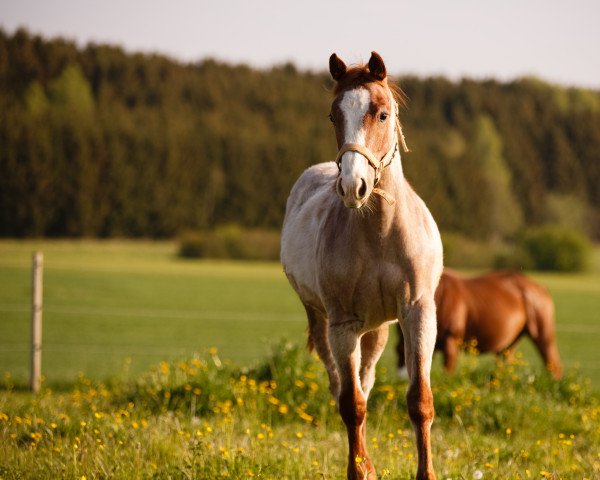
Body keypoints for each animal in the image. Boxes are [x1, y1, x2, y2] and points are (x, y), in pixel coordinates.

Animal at [278, 52, 442, 480]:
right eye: (333, 115)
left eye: (381, 114)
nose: (353, 186)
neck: (380, 232)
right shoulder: (343, 324)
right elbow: (351, 406)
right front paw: (358, 470)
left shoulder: (418, 312)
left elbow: (419, 400)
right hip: (324, 322)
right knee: (344, 387)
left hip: (378, 329)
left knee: (365, 381)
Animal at [396, 270, 560, 378]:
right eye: (398, 353)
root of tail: (540, 288)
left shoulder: (451, 343)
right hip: (508, 346)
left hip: (543, 335)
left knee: (553, 365)